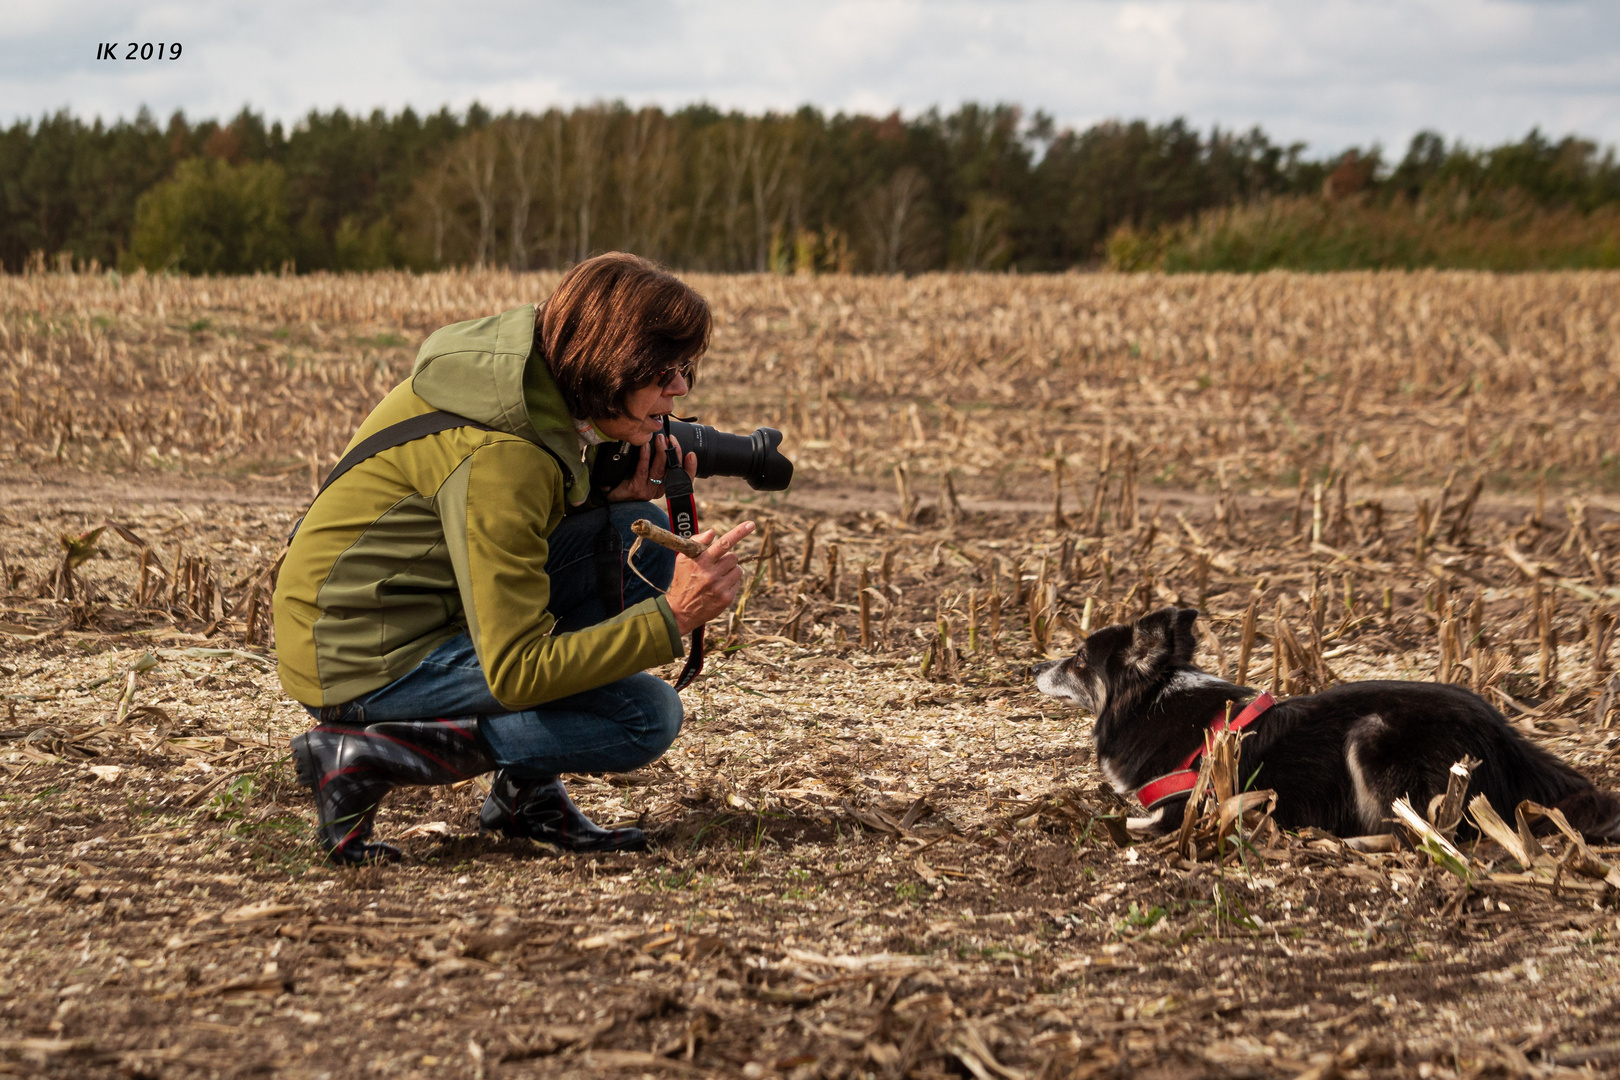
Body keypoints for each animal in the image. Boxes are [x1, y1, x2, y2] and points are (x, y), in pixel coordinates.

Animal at [1036, 605, 1620, 841]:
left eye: (1080, 659)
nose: (1034, 668)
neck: (1153, 702)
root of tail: (1505, 738)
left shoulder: (1188, 807)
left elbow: (1120, 819)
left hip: (1372, 736)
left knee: (1416, 835)